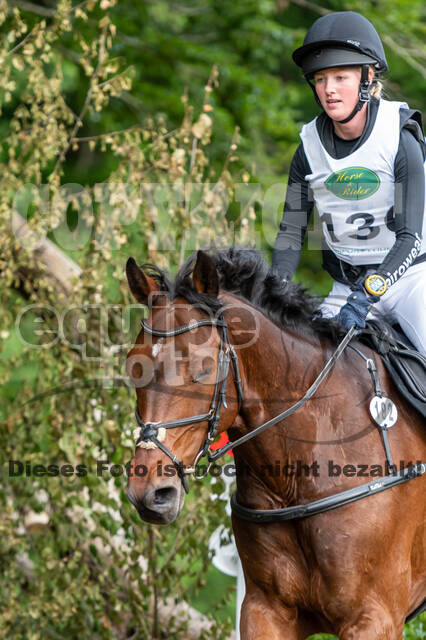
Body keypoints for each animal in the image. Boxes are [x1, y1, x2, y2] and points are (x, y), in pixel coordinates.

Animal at [124, 247, 425, 639]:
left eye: (204, 369)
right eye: (133, 368)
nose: (149, 493)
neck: (294, 476)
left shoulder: (374, 617)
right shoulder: (264, 610)